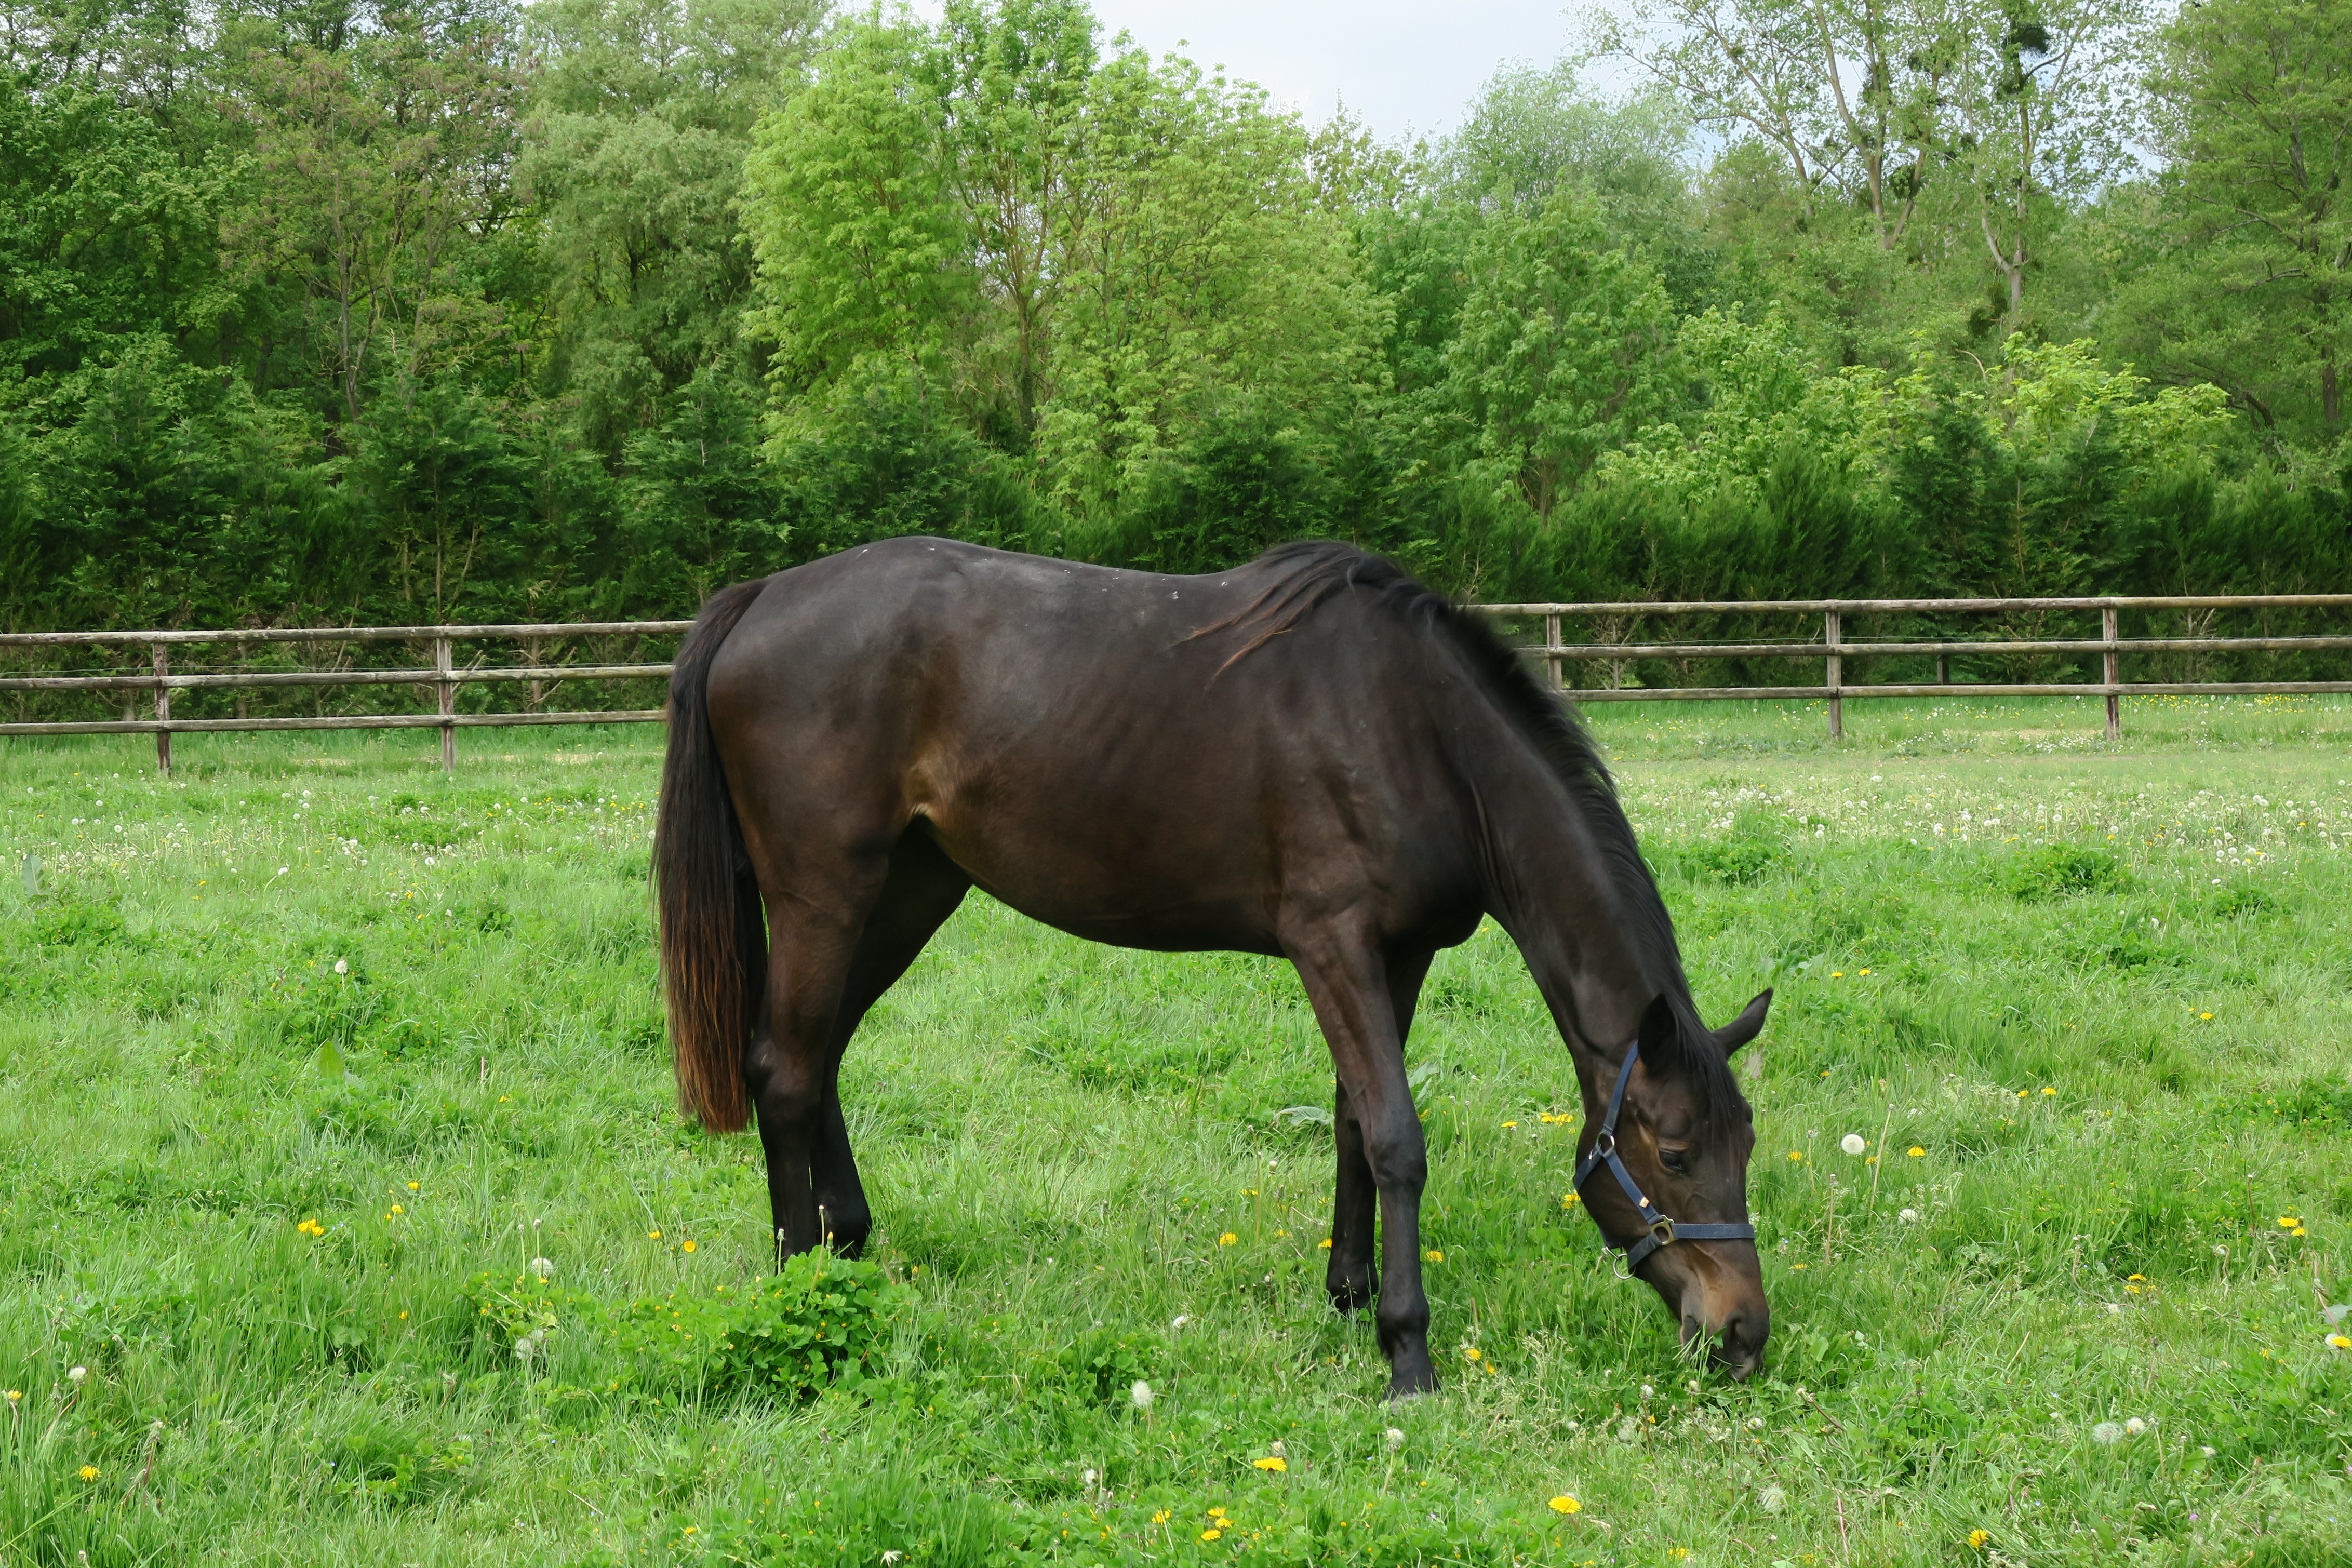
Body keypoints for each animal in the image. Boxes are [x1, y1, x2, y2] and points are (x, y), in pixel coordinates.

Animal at [649, 541, 1769, 1401]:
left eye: (1745, 1144)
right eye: (1672, 1152)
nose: (1742, 1336)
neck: (1415, 730)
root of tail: (761, 599)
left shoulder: (1397, 954)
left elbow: (1351, 1122)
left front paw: (1347, 1294)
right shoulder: (1332, 943)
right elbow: (1396, 1137)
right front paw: (1406, 1351)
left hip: (908, 890)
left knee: (821, 1055)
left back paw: (850, 1242)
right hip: (824, 895)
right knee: (785, 1070)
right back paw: (801, 1281)